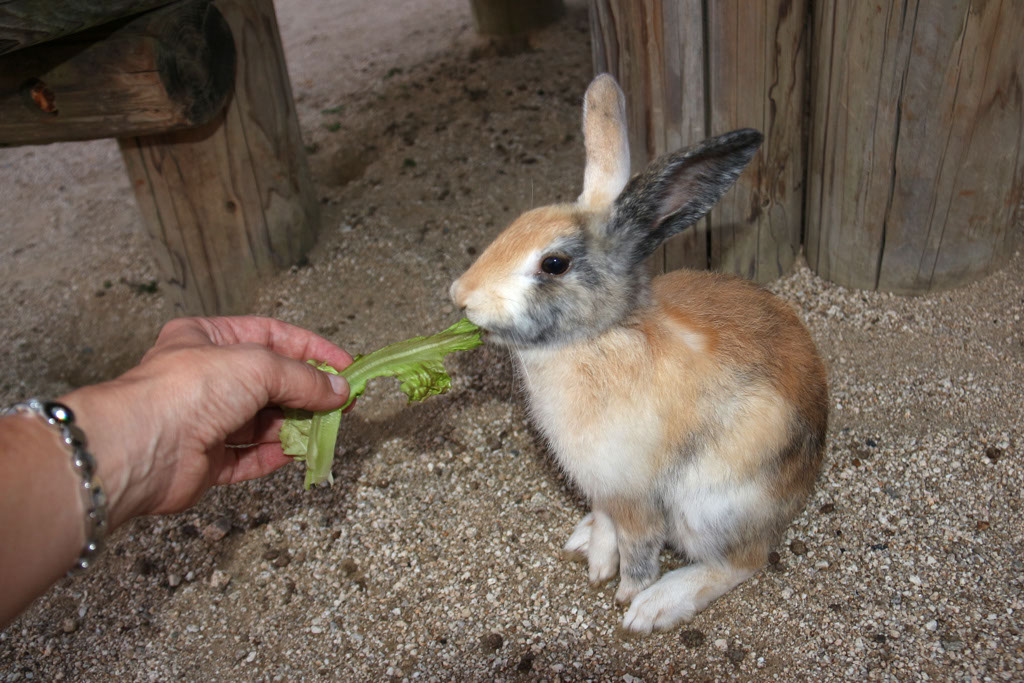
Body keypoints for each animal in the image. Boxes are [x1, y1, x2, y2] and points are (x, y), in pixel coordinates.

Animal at [450, 73, 828, 633]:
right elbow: (609, 527)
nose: (462, 297)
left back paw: (658, 605)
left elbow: (641, 546)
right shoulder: (602, 488)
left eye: (554, 263)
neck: (599, 338)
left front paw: (628, 594)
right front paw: (596, 561)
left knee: (742, 561)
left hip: (709, 505)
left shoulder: (633, 494)